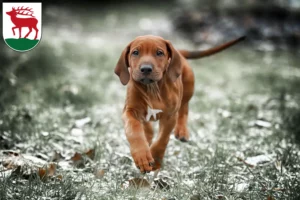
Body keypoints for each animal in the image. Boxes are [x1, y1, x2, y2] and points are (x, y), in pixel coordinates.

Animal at [113, 35, 245, 173]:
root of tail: (180, 54)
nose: (146, 68)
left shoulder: (170, 116)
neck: (152, 88)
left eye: (159, 53)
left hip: (188, 88)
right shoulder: (130, 111)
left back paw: (182, 131)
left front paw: (155, 158)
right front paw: (142, 156)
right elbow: (134, 130)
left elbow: (163, 139)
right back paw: (148, 135)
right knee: (146, 125)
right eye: (135, 52)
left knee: (184, 108)